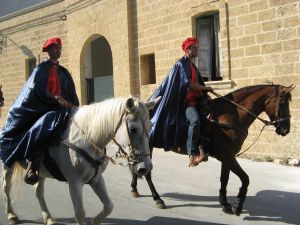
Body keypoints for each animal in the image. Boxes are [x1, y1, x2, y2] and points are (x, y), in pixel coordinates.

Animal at [1, 96, 161, 225]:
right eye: (133, 129)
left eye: (150, 126)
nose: (146, 168)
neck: (86, 138)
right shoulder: (74, 182)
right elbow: (80, 213)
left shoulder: (96, 178)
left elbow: (108, 206)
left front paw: (93, 222)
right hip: (7, 165)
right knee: (6, 187)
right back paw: (11, 215)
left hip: (40, 172)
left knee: (38, 192)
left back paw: (49, 218)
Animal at [129, 84, 296, 216]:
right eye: (282, 103)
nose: (285, 129)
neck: (232, 115)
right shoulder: (227, 155)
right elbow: (245, 178)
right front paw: (237, 205)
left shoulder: (227, 156)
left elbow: (224, 179)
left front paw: (225, 203)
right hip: (148, 147)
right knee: (147, 172)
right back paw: (158, 199)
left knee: (135, 166)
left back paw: (134, 189)